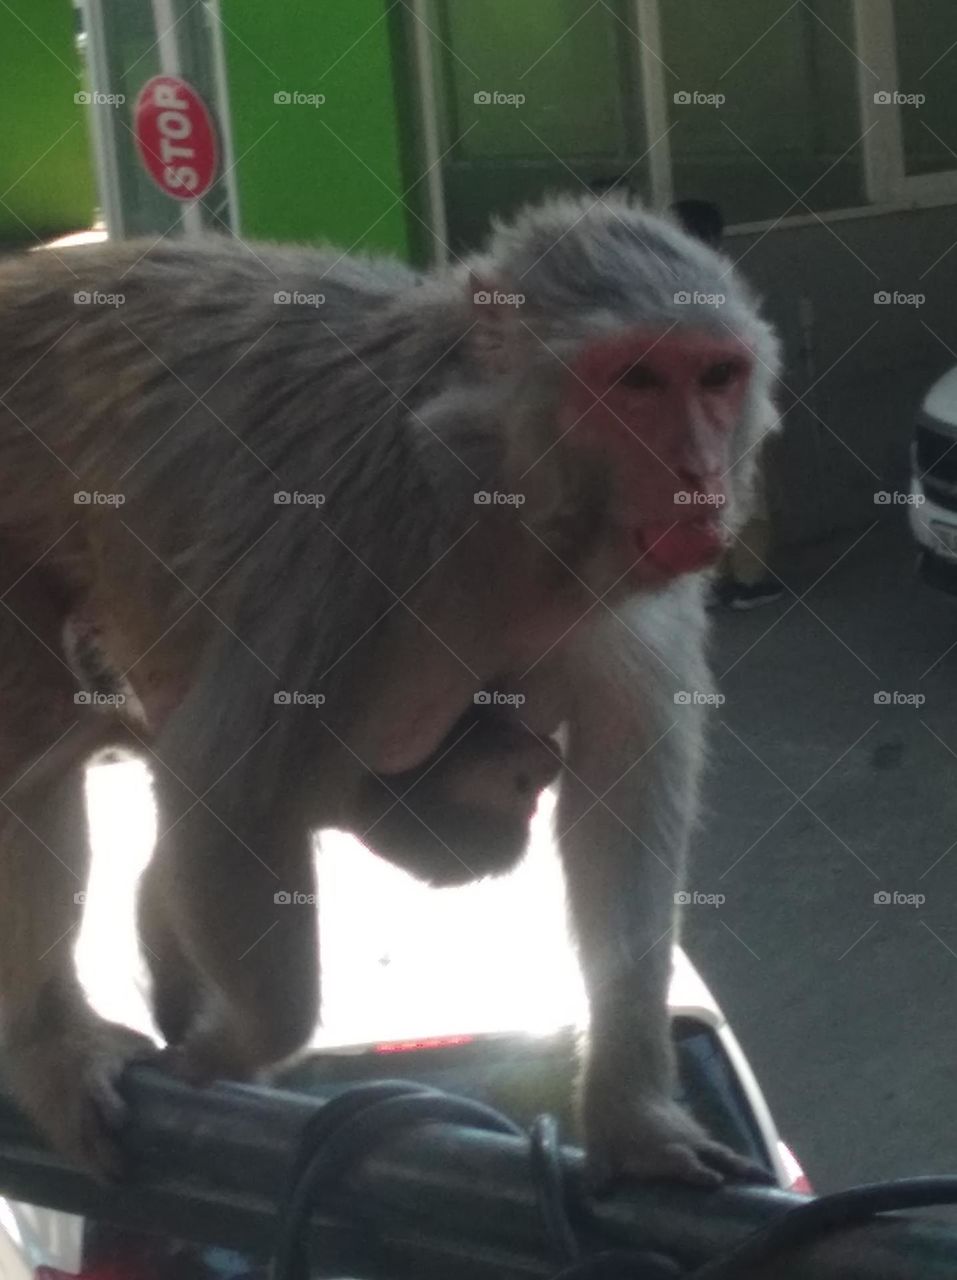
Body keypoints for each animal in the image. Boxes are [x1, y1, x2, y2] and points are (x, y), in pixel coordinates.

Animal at [0, 193, 780, 1187]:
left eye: (716, 375)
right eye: (636, 381)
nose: (698, 475)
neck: (513, 502)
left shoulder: (635, 601)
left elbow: (624, 811)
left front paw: (635, 1124)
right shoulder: (356, 529)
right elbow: (225, 787)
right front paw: (239, 1047)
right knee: (31, 735)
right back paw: (51, 1042)